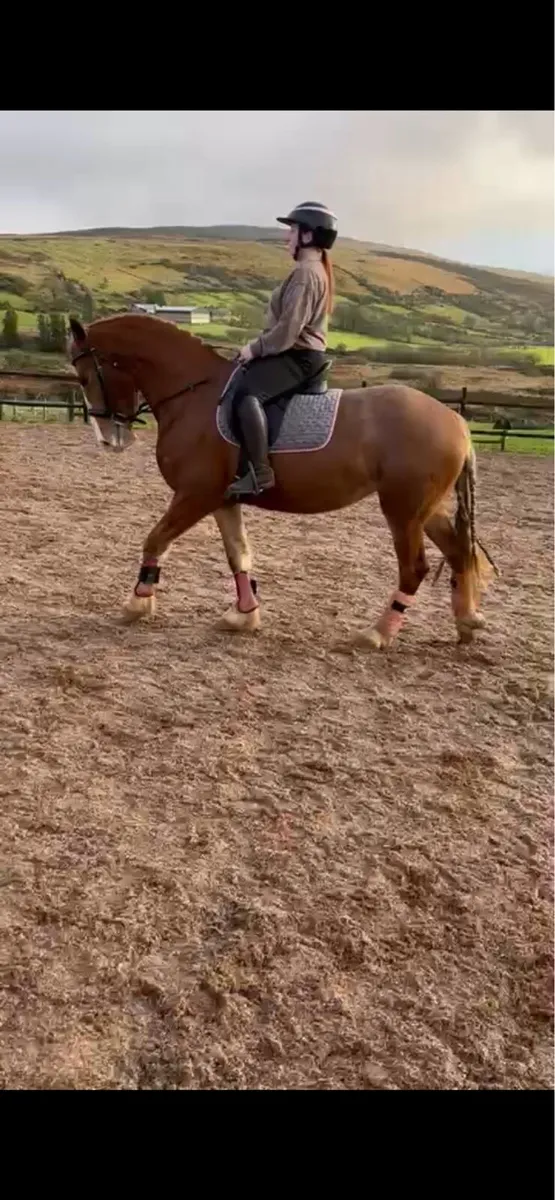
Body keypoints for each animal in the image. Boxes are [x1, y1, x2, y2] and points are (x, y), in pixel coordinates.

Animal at [67, 312, 495, 648]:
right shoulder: (222, 500)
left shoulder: (195, 496)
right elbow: (239, 555)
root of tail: (456, 421)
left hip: (403, 511)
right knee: (458, 552)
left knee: (414, 568)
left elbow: (155, 539)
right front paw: (244, 615)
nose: (110, 439)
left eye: (86, 376)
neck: (194, 395)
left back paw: (378, 633)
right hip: (426, 509)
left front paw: (138, 602)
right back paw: (466, 622)